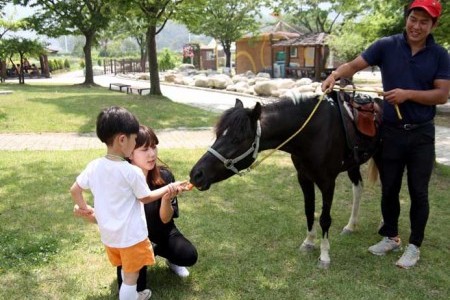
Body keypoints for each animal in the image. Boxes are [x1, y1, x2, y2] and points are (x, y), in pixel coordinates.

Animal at [190, 91, 384, 268]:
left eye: (237, 139)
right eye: (218, 134)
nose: (196, 174)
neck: (313, 132)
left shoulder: (328, 181)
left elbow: (324, 218)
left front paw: (324, 256)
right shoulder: (304, 177)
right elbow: (309, 211)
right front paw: (308, 242)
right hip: (353, 164)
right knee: (358, 188)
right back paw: (351, 226)